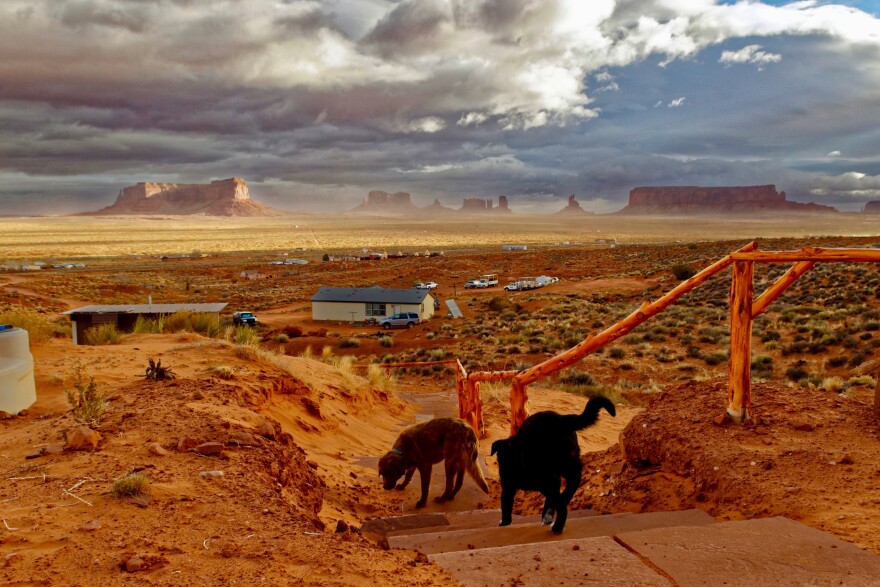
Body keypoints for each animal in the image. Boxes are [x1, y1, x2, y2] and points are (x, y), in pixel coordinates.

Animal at [492, 398, 616, 536]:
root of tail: (561, 419)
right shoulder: (552, 480)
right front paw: (548, 515)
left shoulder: (510, 485)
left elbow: (506, 504)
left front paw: (504, 523)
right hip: (567, 463)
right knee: (574, 480)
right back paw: (564, 499)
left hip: (548, 472)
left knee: (561, 502)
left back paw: (557, 526)